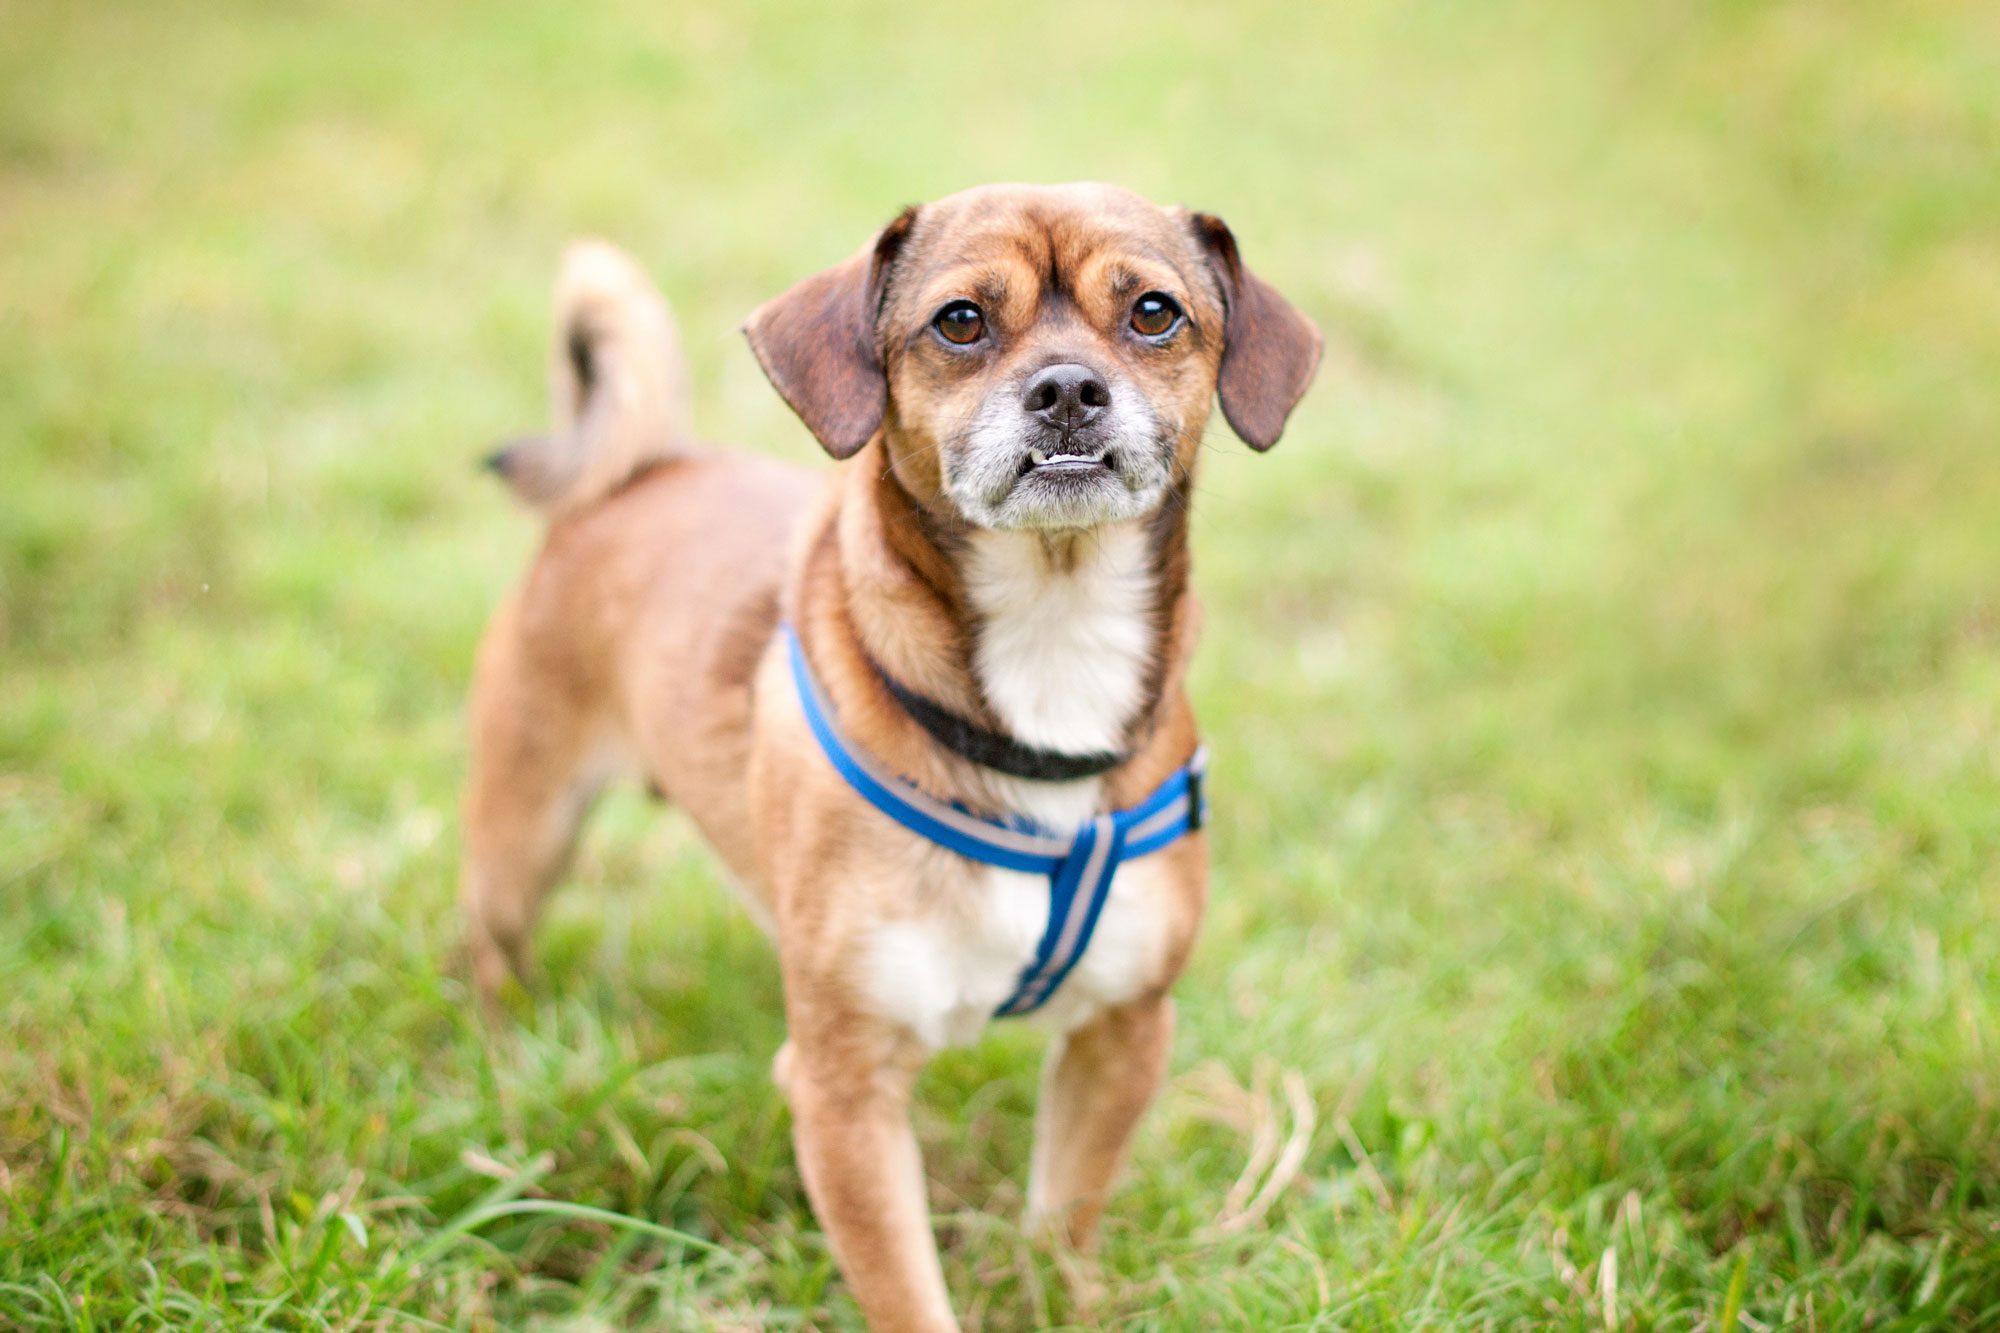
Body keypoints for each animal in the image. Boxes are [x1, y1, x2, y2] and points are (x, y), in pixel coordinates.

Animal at [460, 182, 1320, 1320]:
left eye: (1152, 313)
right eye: (959, 321)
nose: (1066, 389)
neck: (1052, 634)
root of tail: (643, 470)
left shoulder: (1123, 1033)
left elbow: (1062, 1221)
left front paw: (1055, 1297)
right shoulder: (845, 1091)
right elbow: (907, 1293)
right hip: (523, 835)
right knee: (490, 954)